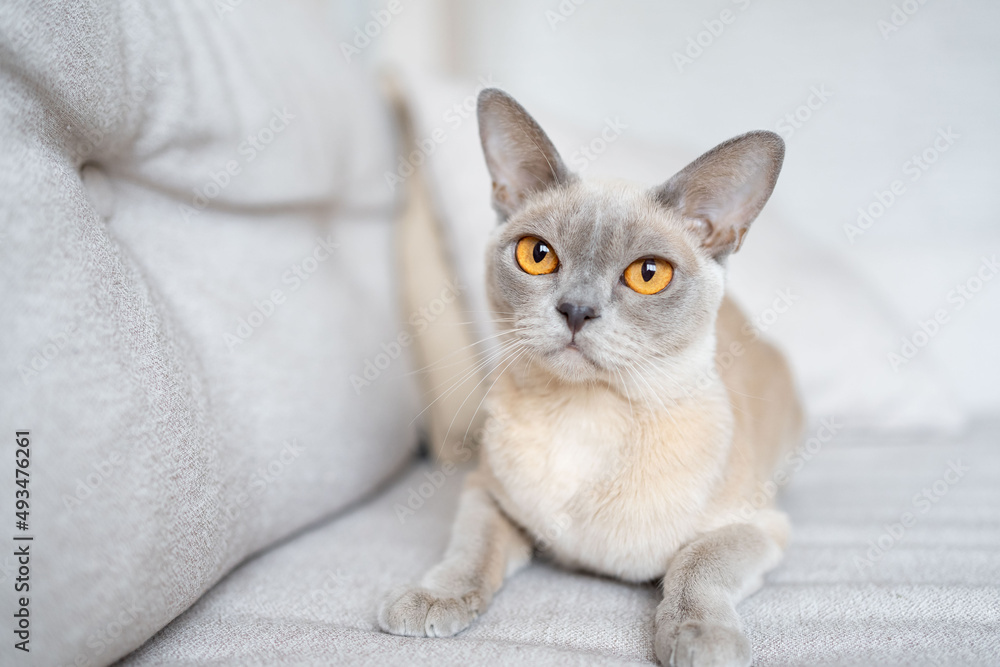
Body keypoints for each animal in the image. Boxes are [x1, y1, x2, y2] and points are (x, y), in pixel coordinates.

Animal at [376, 88, 804, 667]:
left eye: (649, 274)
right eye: (537, 255)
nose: (576, 310)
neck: (585, 417)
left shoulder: (756, 527)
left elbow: (696, 566)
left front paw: (701, 639)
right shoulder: (487, 493)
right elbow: (471, 550)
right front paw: (431, 598)